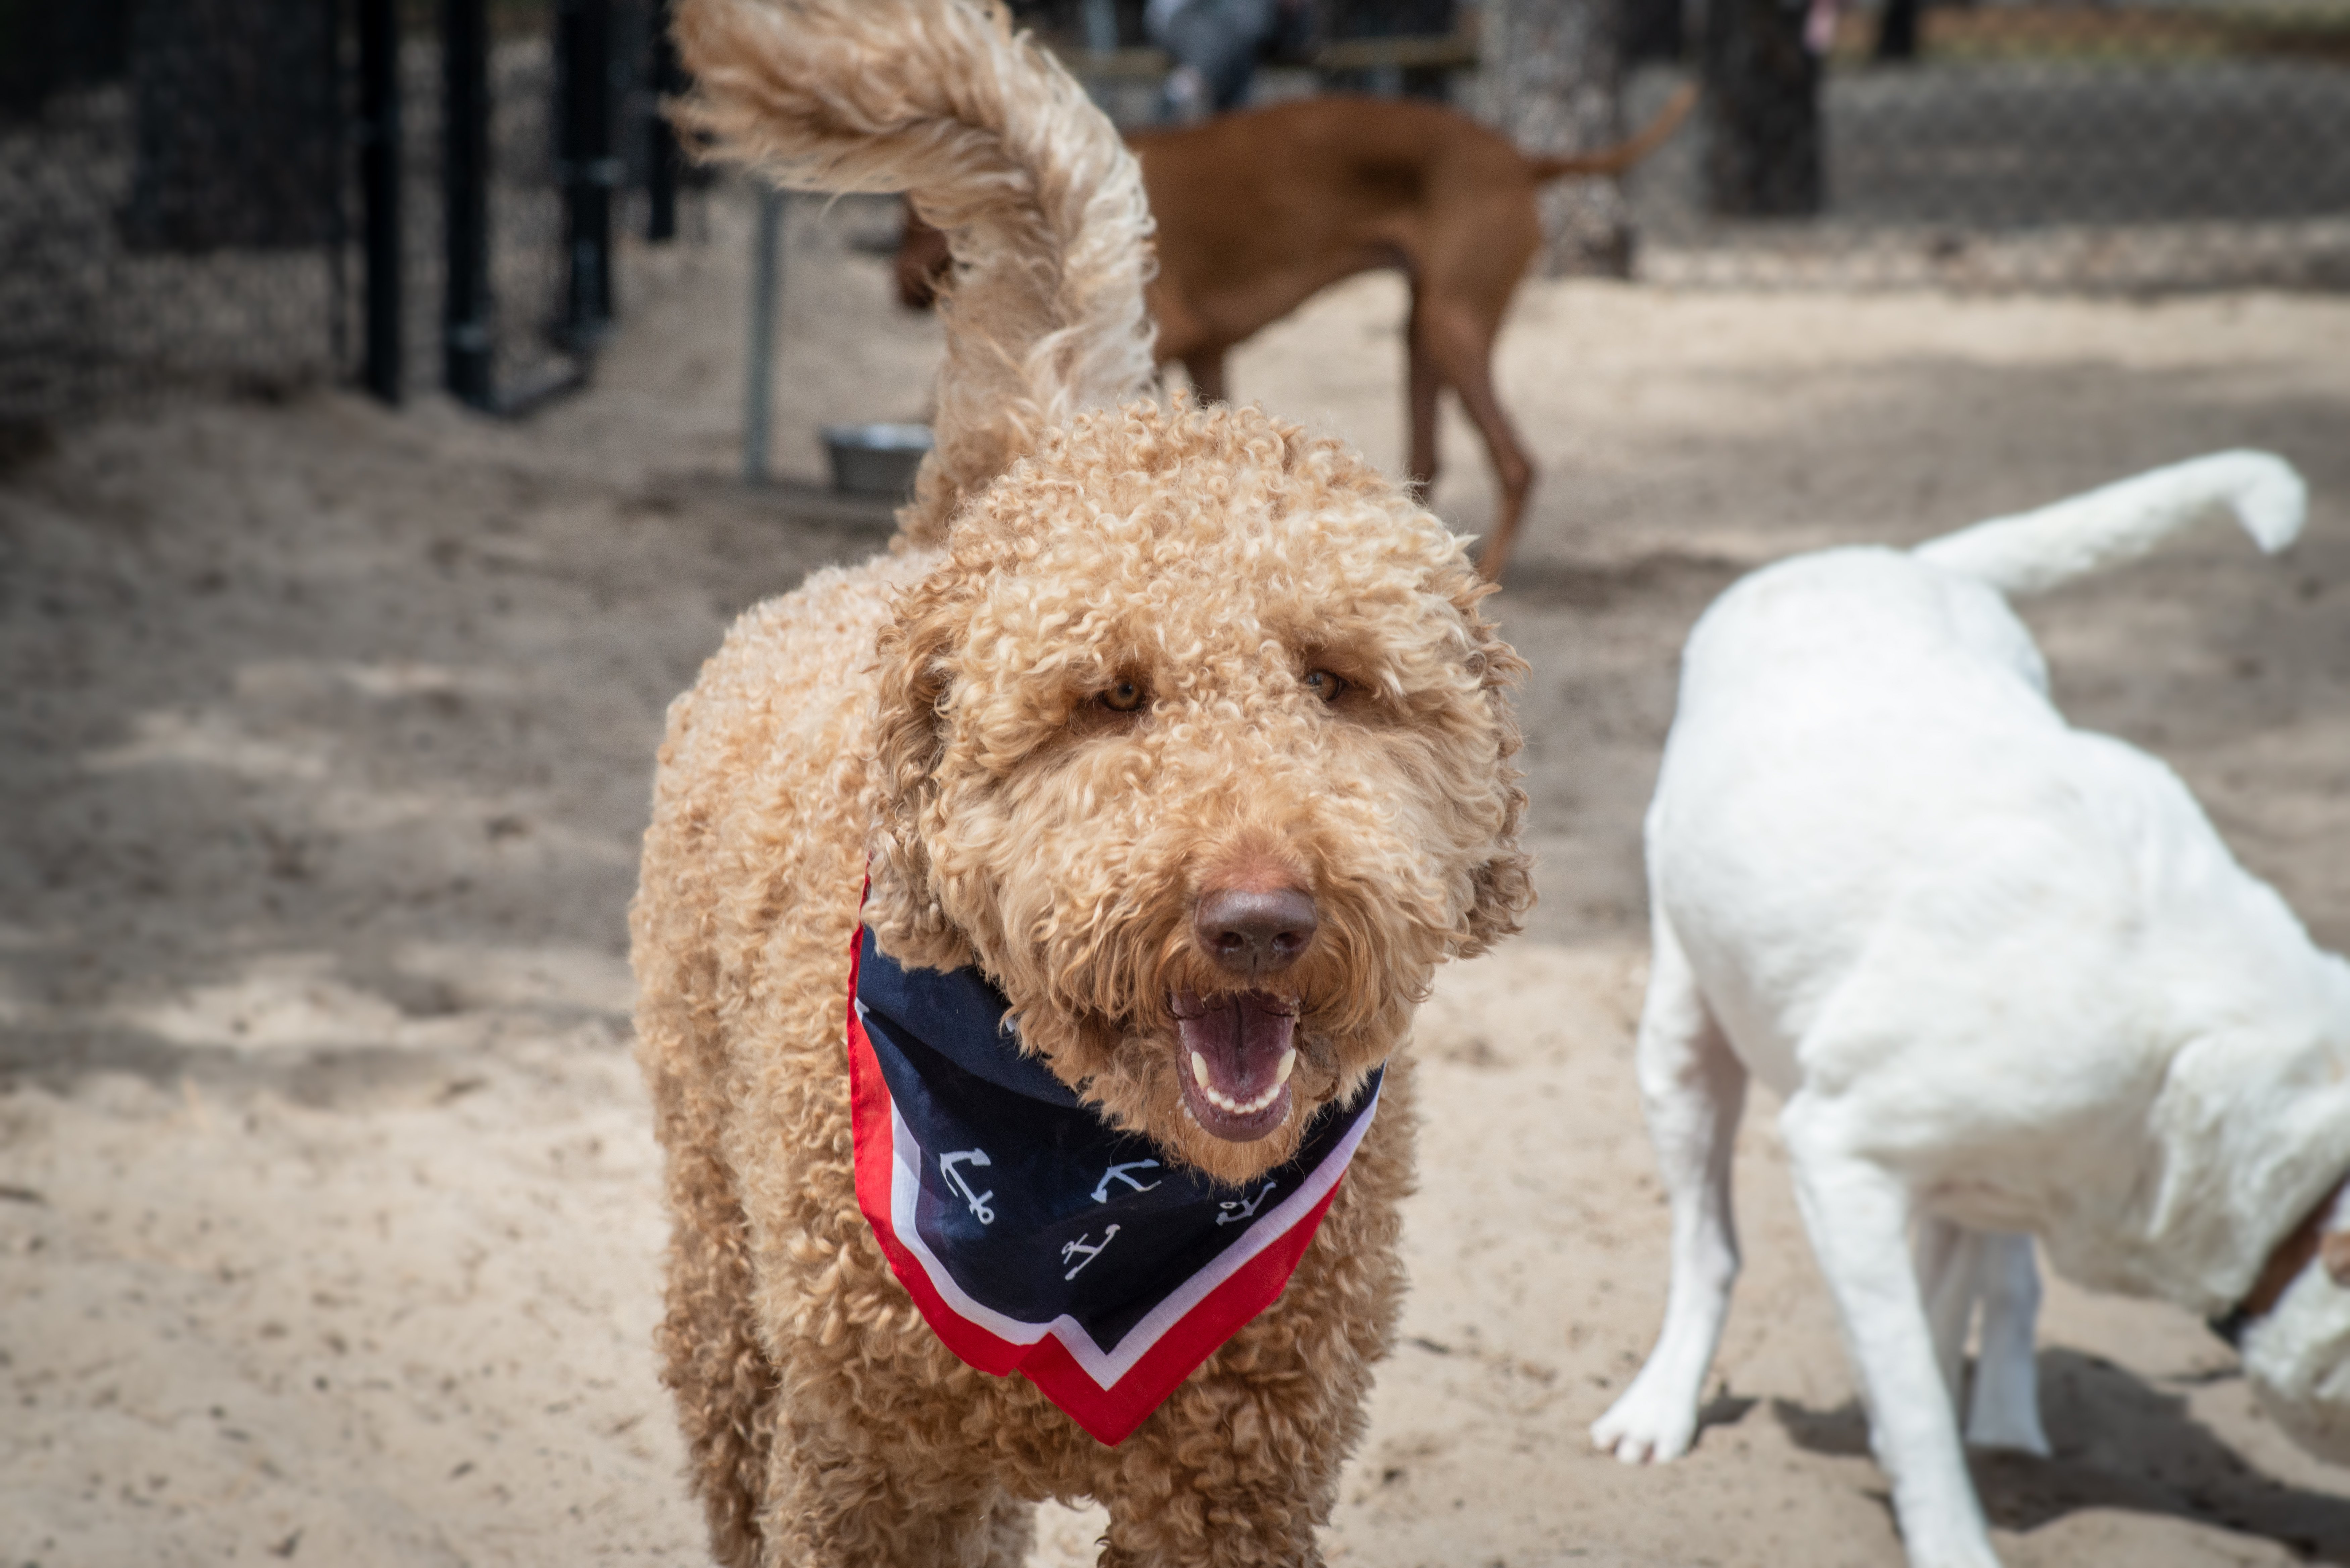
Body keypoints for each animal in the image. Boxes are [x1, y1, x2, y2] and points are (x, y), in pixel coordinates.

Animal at [634, 6, 1532, 1561]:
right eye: (1108, 696)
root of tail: (938, 538)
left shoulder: (1240, 1488)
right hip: (723, 1269)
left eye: (1338, 679)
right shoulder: (865, 1465)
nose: (1258, 918)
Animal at [898, 86, 1692, 580]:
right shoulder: (1210, 351)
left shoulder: (1168, 332)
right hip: (1422, 331)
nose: (897, 289)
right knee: (1429, 458)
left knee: (1517, 464)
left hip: (1451, 324)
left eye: (914, 224)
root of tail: (1522, 156)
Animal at [1589, 454, 2340, 1568]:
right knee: (1708, 1249)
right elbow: (1912, 1406)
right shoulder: (1839, 1154)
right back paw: (1661, 1406)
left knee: (2001, 1281)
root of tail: (1889, 560)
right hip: (1682, 1036)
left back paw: (2010, 1421)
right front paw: (1943, 1523)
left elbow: (1930, 1355)